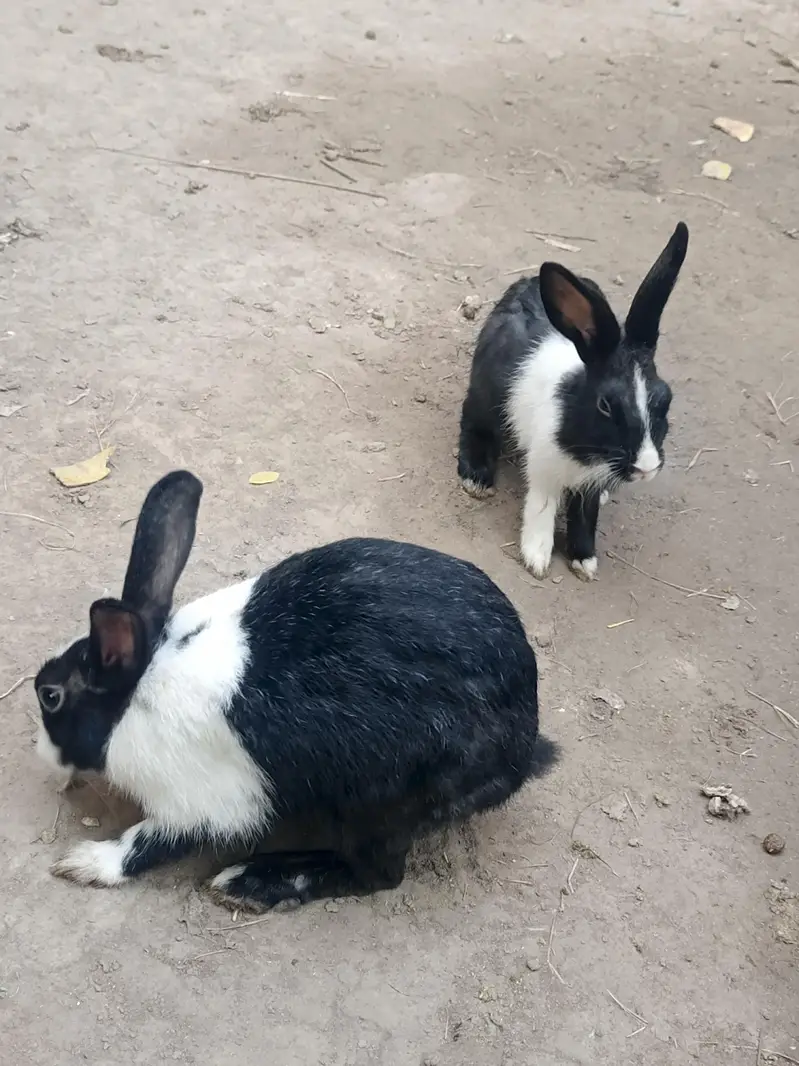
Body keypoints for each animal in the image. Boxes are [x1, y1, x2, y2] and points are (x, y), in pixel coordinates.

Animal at [34, 470, 557, 912]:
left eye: (50, 696)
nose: (43, 755)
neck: (137, 691)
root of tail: (523, 743)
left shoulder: (203, 803)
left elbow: (145, 844)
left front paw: (85, 864)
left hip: (378, 809)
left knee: (377, 876)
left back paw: (250, 882)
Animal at [457, 222, 689, 581]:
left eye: (666, 399)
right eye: (605, 405)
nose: (647, 467)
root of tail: (527, 283)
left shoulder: (591, 483)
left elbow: (586, 515)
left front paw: (584, 561)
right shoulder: (544, 469)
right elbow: (541, 508)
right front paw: (536, 559)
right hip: (486, 397)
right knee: (474, 421)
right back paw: (477, 478)